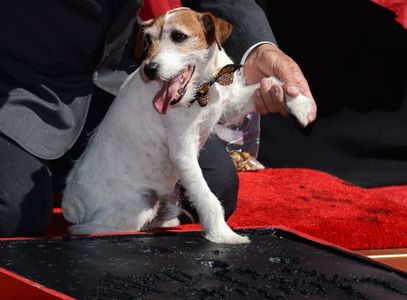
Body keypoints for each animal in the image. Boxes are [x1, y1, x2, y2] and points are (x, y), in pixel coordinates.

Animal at [61, 7, 316, 244]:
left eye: (179, 36)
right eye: (148, 40)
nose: (149, 70)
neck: (202, 88)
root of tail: (70, 203)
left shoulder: (230, 107)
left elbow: (272, 80)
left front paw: (300, 103)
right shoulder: (183, 154)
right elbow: (207, 197)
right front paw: (223, 235)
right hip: (139, 204)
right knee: (87, 229)